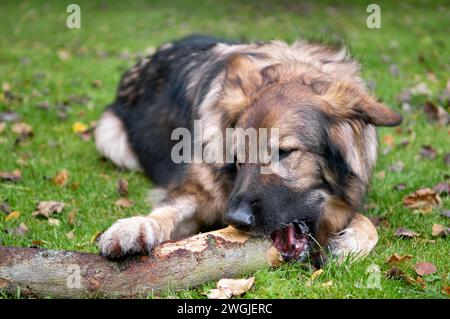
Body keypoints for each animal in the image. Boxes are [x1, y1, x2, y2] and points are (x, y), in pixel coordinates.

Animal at [94, 33, 400, 266]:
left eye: (284, 152)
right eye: (238, 158)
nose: (235, 219)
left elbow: (369, 225)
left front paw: (348, 243)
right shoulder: (200, 194)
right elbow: (167, 210)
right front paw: (135, 227)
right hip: (109, 136)